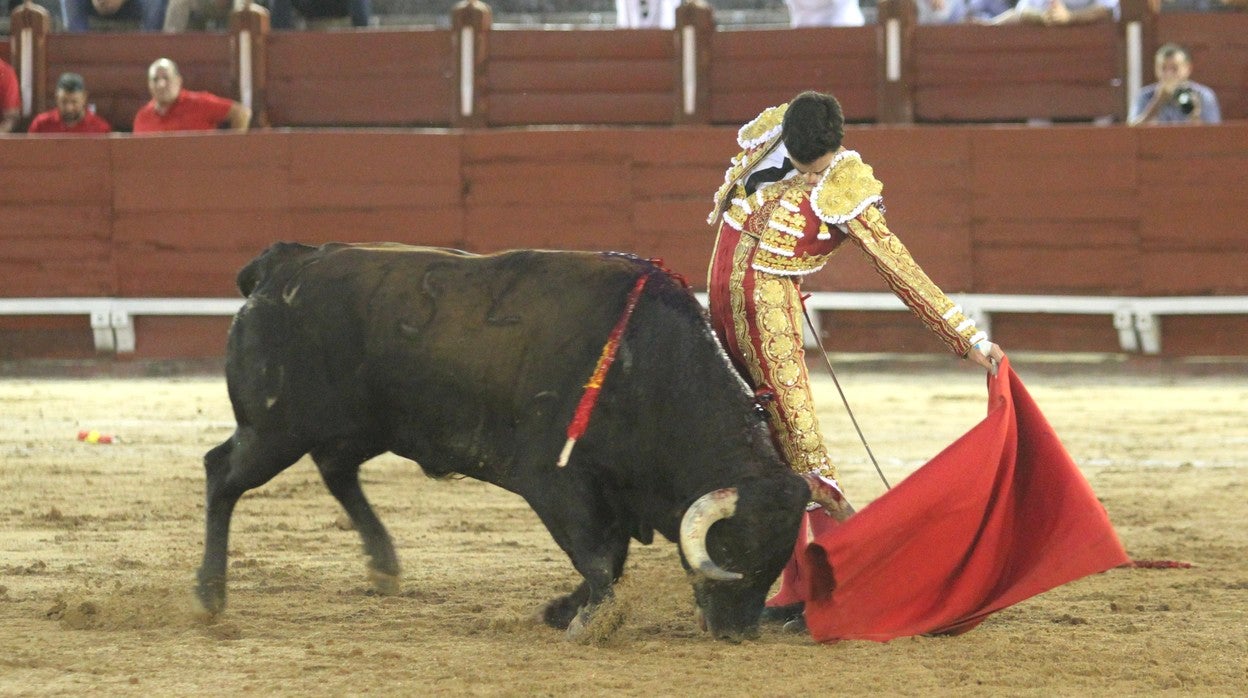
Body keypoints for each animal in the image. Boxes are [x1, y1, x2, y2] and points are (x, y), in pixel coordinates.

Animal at [197, 243, 808, 644]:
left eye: (779, 562)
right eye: (733, 550)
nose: (737, 633)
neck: (651, 367)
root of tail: (281, 266)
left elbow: (610, 557)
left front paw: (564, 610)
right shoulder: (557, 482)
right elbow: (599, 556)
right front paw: (588, 621)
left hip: (358, 426)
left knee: (335, 470)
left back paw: (384, 567)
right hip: (274, 429)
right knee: (222, 473)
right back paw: (210, 594)